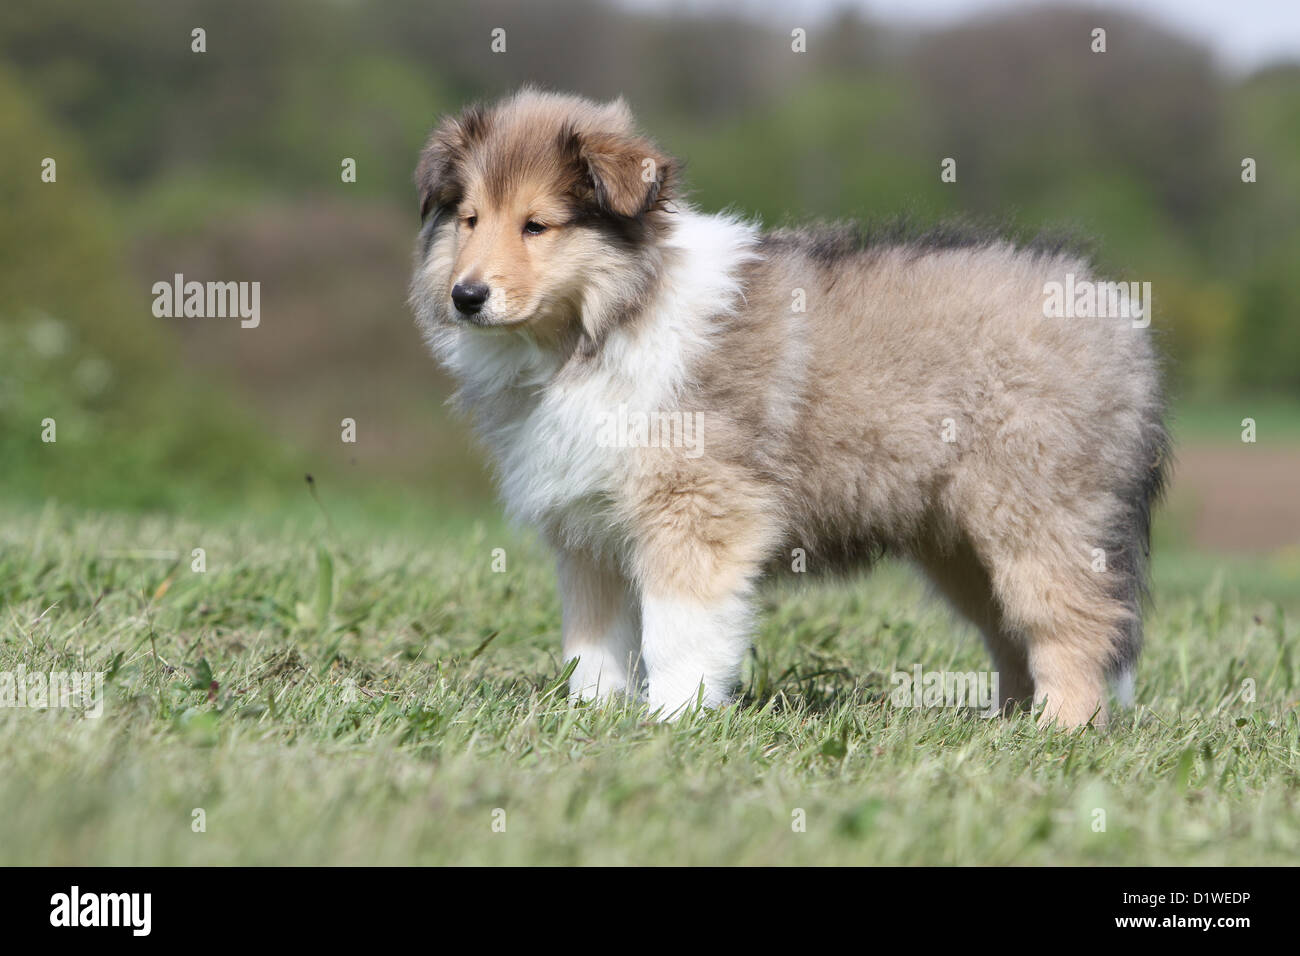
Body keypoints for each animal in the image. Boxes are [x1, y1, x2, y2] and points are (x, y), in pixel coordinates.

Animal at [410, 91, 1175, 733]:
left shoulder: (696, 508)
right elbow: (595, 641)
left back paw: (1059, 731)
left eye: (537, 226)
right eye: (469, 219)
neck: (603, 325)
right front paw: (591, 715)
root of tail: (1115, 311)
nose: (465, 296)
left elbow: (677, 631)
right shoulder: (587, 533)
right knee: (1013, 634)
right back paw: (1007, 725)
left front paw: (672, 720)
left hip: (1039, 512)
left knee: (1076, 625)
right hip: (960, 541)